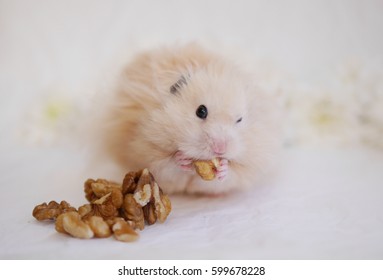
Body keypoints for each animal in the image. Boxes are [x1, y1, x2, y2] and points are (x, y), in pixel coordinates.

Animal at [91, 43, 280, 195]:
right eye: (201, 111)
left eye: (239, 120)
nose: (220, 149)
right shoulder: (145, 150)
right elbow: (166, 165)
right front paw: (181, 158)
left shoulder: (241, 172)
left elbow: (228, 177)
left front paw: (223, 167)